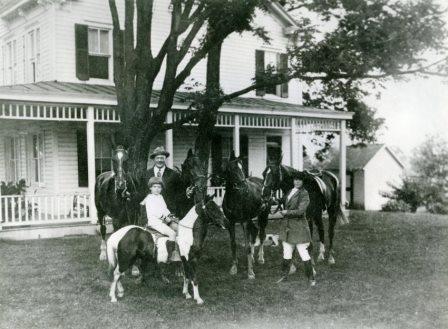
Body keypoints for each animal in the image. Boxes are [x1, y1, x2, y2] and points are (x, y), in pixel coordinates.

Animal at [221, 150, 268, 278]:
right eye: (232, 168)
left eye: (242, 167)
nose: (244, 186)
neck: (236, 197)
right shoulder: (231, 222)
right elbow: (233, 244)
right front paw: (234, 267)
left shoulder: (245, 221)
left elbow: (247, 246)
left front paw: (250, 272)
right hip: (251, 218)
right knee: (255, 231)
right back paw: (252, 258)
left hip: (263, 216)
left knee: (261, 234)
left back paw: (261, 258)